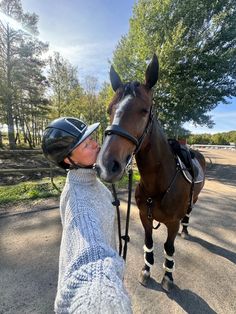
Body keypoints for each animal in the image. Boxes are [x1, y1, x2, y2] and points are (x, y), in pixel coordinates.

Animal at [95, 54, 206, 292]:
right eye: (109, 110)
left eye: (144, 110)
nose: (106, 165)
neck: (159, 184)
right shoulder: (144, 217)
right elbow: (148, 243)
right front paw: (146, 271)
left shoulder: (172, 223)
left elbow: (169, 248)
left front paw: (168, 276)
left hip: (195, 198)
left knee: (188, 213)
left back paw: (186, 230)